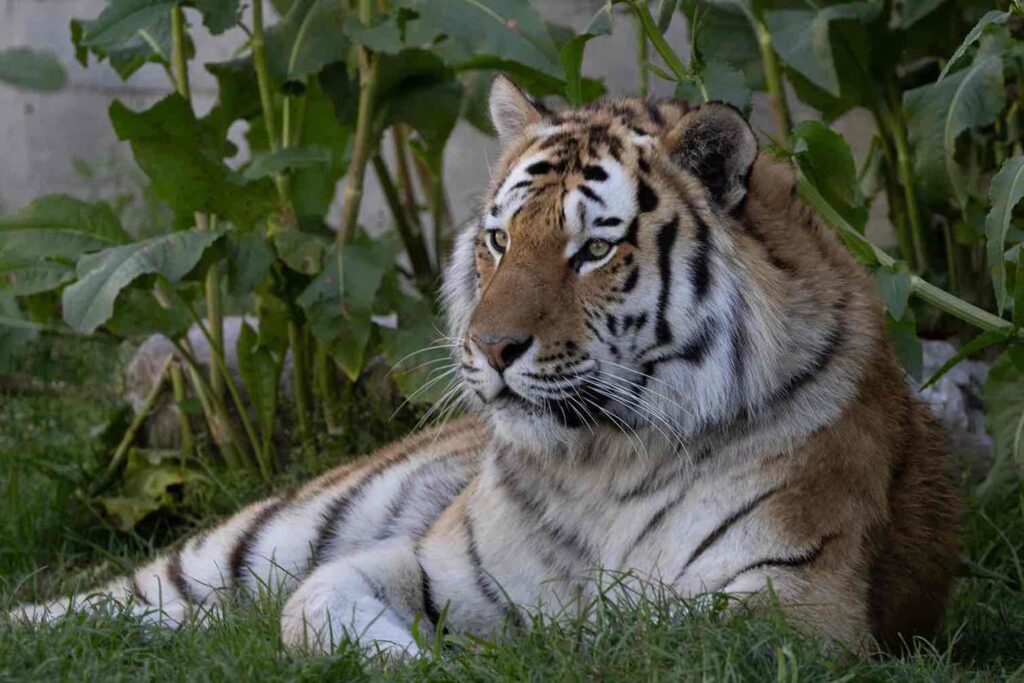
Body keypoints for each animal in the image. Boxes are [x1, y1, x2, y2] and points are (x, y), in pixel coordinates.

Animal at [11, 76, 959, 655]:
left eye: (593, 250)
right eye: (501, 239)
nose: (490, 348)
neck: (604, 464)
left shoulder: (791, 606)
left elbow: (632, 640)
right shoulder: (431, 562)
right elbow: (311, 605)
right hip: (269, 532)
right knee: (129, 593)